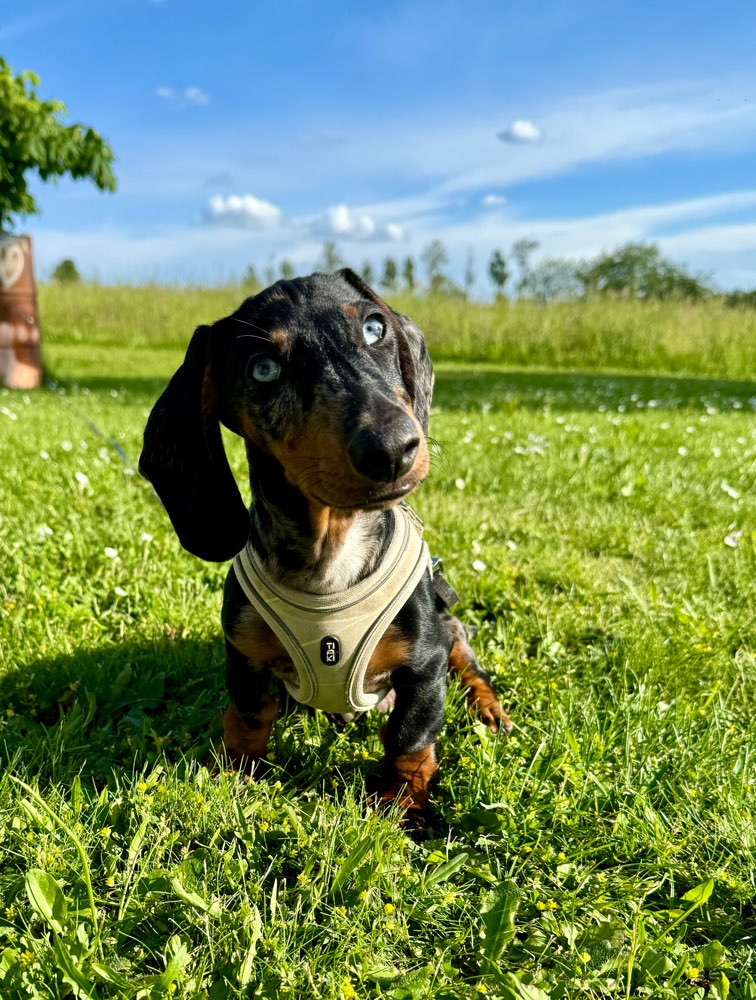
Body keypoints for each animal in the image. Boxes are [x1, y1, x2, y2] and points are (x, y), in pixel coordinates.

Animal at [140, 270, 510, 824]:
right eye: (264, 369)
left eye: (375, 327)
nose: (393, 449)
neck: (331, 557)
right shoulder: (243, 657)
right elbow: (247, 717)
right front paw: (236, 776)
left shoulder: (425, 662)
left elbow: (409, 738)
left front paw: (405, 808)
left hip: (450, 627)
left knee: (471, 667)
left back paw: (490, 711)